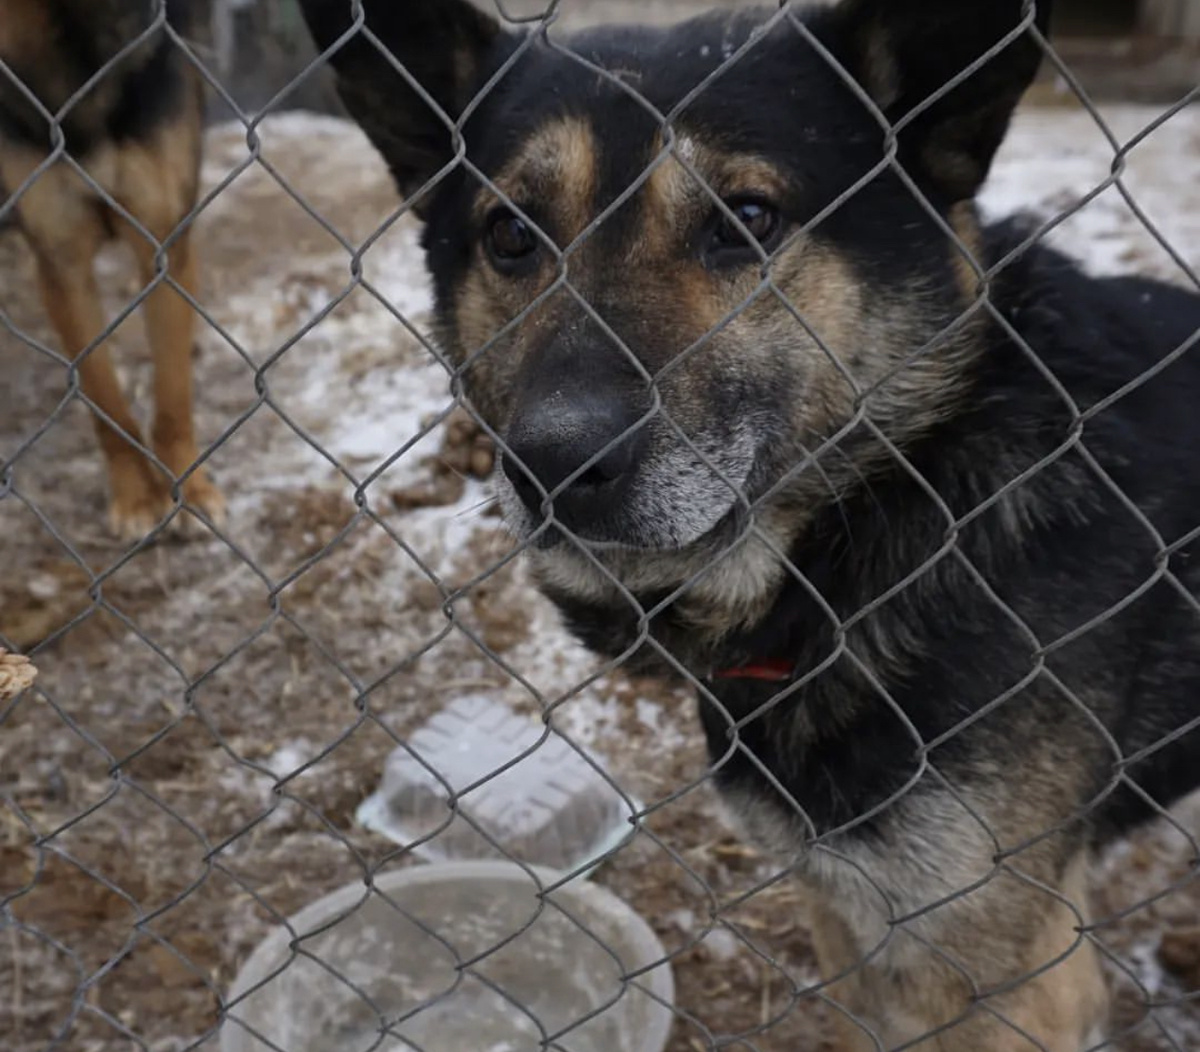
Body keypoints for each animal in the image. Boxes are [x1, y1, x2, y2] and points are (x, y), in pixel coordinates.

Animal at [0, 0, 223, 537]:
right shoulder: (61, 262)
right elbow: (104, 397)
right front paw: (138, 498)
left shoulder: (163, 244)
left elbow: (172, 391)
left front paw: (188, 491)